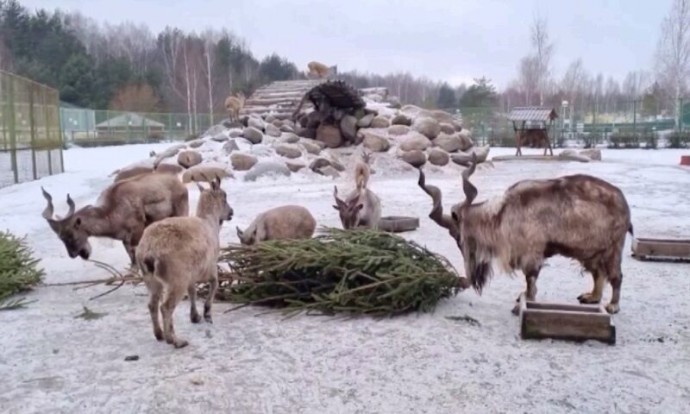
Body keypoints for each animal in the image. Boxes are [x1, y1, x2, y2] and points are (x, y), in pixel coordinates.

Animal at [42, 171, 188, 266]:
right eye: (61, 238)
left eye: (72, 234)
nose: (75, 254)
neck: (112, 209)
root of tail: (180, 183)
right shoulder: (125, 240)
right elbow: (132, 260)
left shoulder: (137, 231)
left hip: (181, 212)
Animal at [134, 176, 234, 348]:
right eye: (224, 196)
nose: (231, 213)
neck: (210, 223)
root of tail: (148, 252)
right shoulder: (210, 266)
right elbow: (214, 284)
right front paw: (207, 314)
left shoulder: (191, 274)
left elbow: (193, 291)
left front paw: (195, 316)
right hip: (176, 277)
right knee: (166, 307)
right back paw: (175, 340)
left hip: (151, 279)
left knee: (152, 304)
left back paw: (159, 334)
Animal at [416, 154, 632, 314]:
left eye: (457, 236)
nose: (468, 277)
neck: (501, 214)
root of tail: (623, 201)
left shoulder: (531, 253)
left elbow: (530, 279)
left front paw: (525, 302)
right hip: (589, 250)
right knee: (598, 274)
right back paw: (592, 297)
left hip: (613, 247)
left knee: (616, 276)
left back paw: (613, 305)